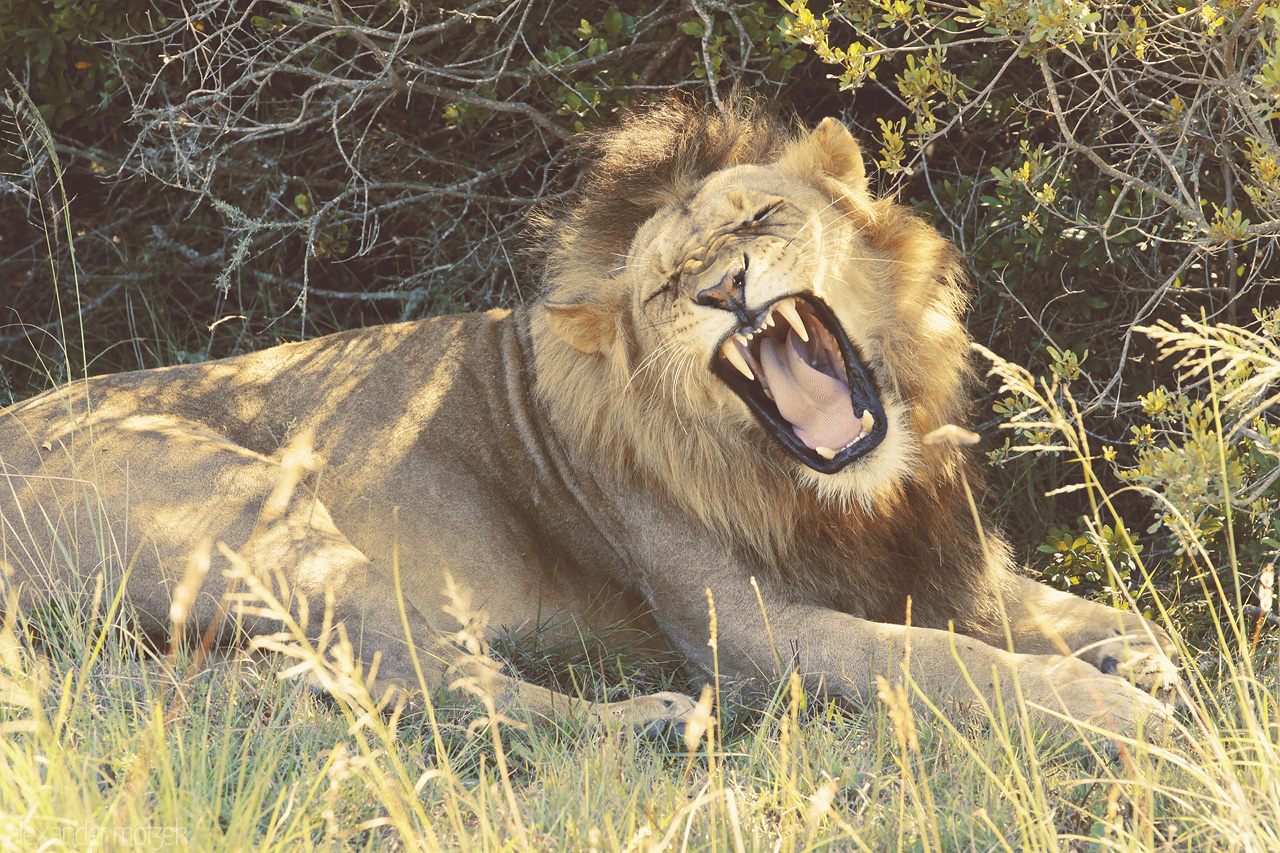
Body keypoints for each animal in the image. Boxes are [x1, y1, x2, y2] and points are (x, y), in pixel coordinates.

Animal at [0, 97, 1177, 737]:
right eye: (664, 287)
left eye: (761, 217)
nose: (725, 288)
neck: (845, 492)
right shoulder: (746, 632)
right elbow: (933, 659)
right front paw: (1112, 710)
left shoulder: (947, 560)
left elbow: (1062, 611)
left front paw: (1139, 652)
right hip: (260, 511)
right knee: (434, 683)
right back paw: (647, 723)